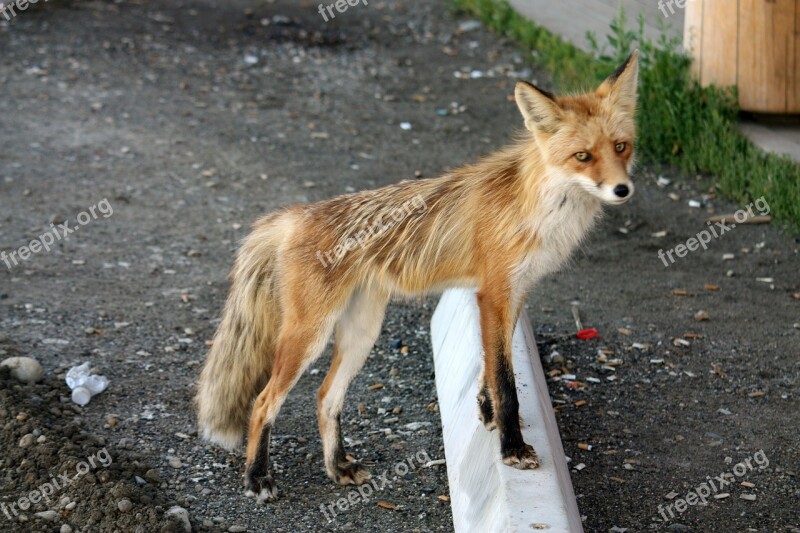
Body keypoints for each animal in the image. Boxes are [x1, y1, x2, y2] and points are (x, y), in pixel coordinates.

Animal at [194, 50, 636, 498]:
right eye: (583, 156)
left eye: (621, 146)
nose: (623, 190)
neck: (540, 206)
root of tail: (293, 215)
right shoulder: (494, 293)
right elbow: (506, 381)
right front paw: (512, 447)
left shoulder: (515, 293)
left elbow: (492, 371)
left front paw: (487, 413)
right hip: (309, 334)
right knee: (263, 402)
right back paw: (257, 476)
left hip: (362, 332)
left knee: (325, 397)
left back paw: (337, 467)